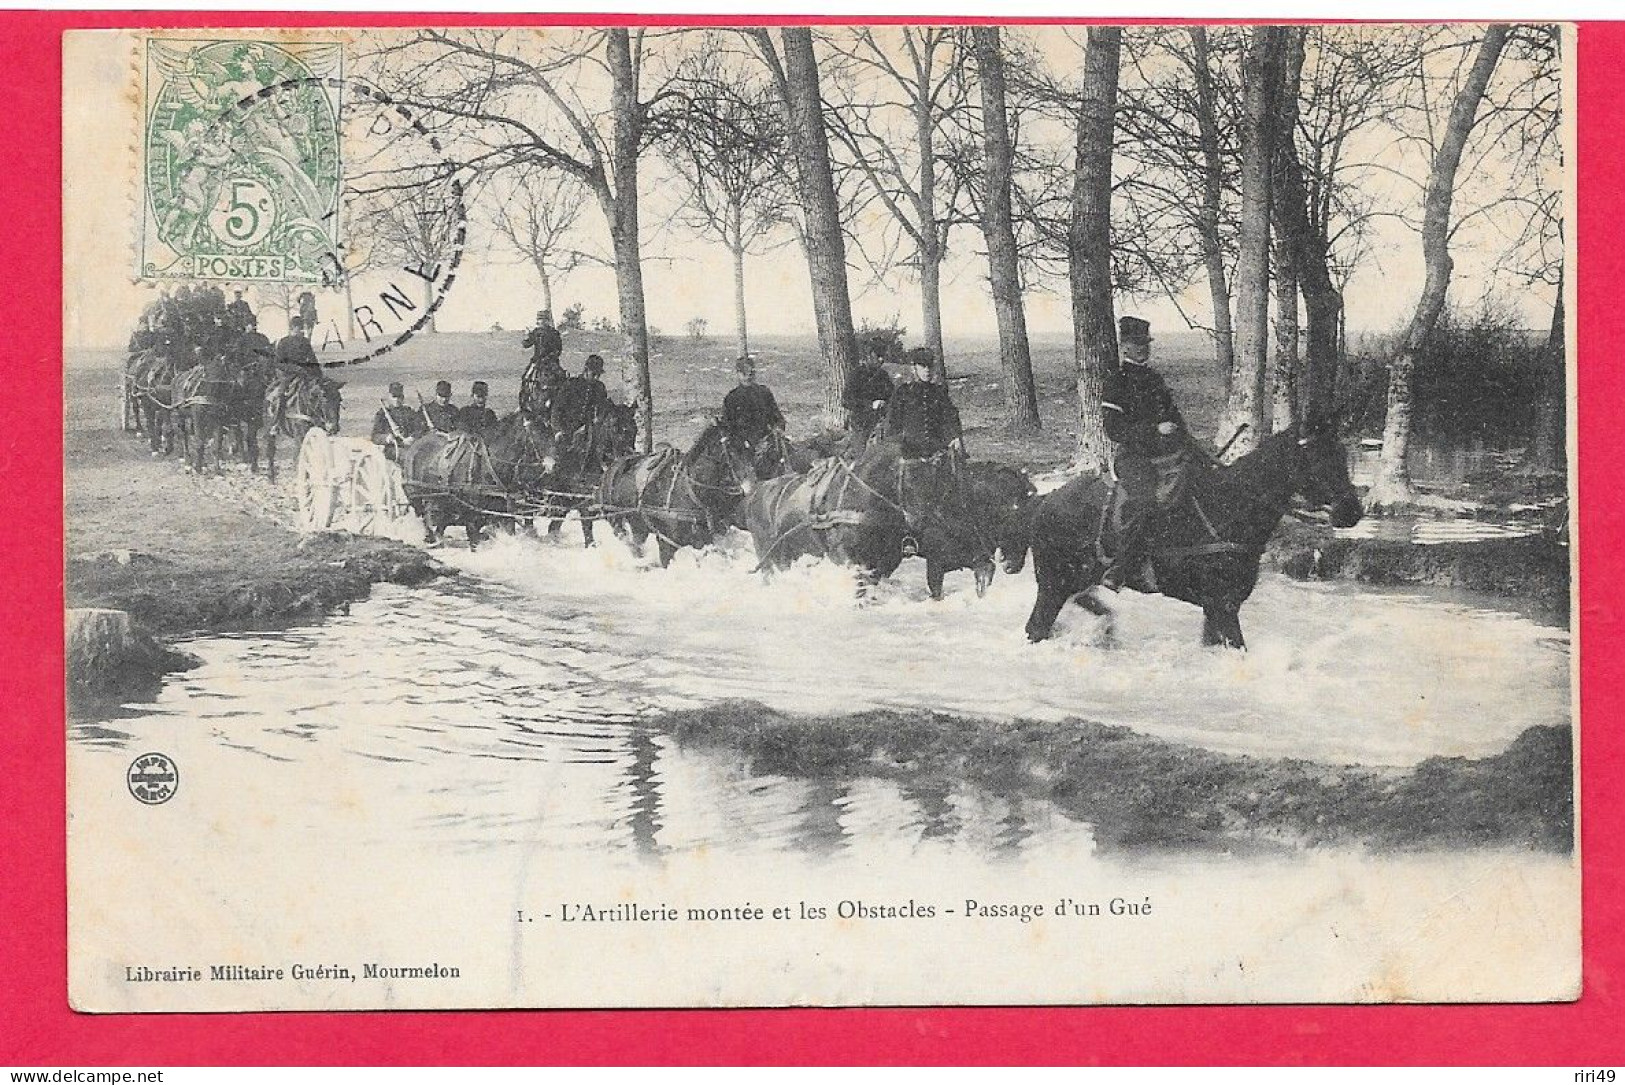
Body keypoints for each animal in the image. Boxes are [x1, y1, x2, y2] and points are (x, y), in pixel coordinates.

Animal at [598, 419, 760, 565]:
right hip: (616, 521)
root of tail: (613, 465)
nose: (752, 486)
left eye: (749, 448)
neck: (690, 492)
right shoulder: (666, 541)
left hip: (638, 525)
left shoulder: (703, 541)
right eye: (731, 449)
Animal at [1027, 422, 1358, 643]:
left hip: (1077, 580)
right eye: (1317, 458)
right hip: (1054, 584)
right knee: (1037, 628)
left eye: (1342, 455)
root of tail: (1045, 500)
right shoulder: (1222, 606)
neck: (1228, 509)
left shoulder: (1218, 608)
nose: (1352, 510)